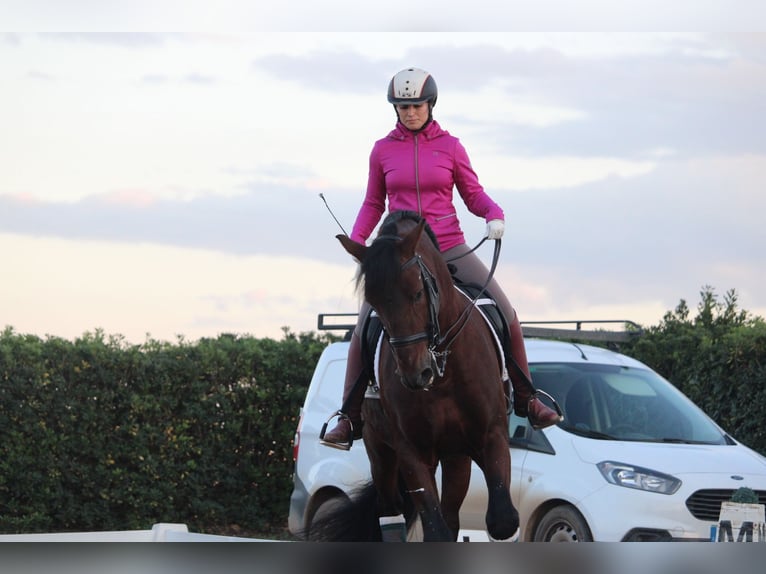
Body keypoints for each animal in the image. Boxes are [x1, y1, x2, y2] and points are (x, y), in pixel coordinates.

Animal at [308, 212, 520, 544]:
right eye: (373, 303)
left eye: (418, 293)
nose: (415, 373)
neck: (444, 373)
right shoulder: (412, 451)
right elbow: (436, 530)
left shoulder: (491, 436)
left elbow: (502, 520)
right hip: (380, 450)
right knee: (389, 512)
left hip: (455, 456)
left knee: (452, 514)